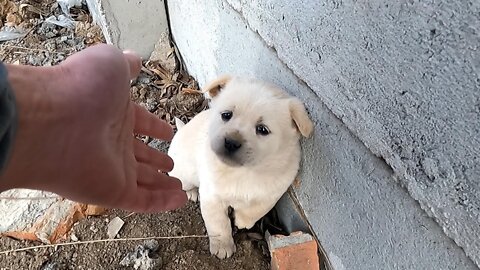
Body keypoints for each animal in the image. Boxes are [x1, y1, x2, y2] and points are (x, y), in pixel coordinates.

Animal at [167, 75, 314, 258]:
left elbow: (257, 209)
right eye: (226, 115)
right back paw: (192, 192)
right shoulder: (212, 197)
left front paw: (243, 221)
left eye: (262, 129)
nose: (230, 142)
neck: (245, 171)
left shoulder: (273, 192)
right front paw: (222, 247)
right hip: (183, 173)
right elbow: (218, 225)